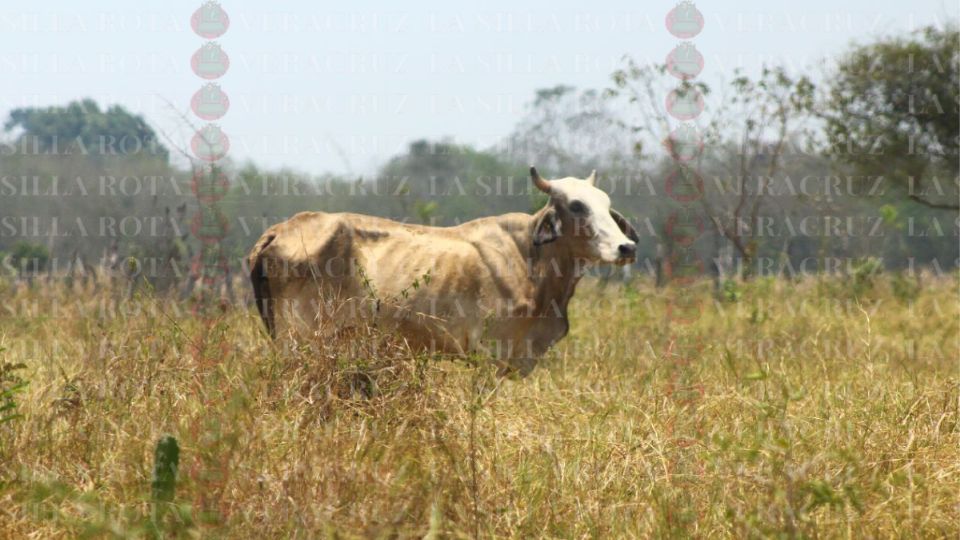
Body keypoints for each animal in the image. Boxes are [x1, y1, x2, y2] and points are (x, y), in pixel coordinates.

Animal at [248, 168, 636, 376]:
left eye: (607, 205)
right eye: (577, 206)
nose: (626, 247)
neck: (531, 259)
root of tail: (279, 230)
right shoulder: (490, 354)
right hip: (298, 341)